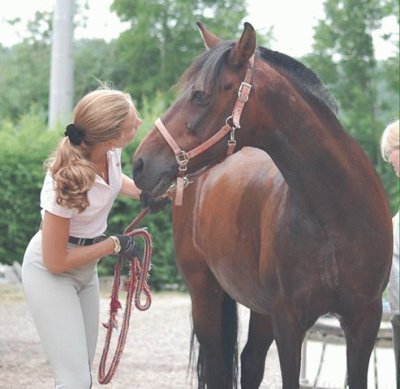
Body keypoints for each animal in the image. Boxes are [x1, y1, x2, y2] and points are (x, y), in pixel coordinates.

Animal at [133, 22, 392, 388]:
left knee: (251, 361)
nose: (140, 164)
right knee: (218, 368)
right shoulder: (289, 321)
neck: (334, 217)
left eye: (200, 94)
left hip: (260, 309)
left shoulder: (364, 320)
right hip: (205, 293)